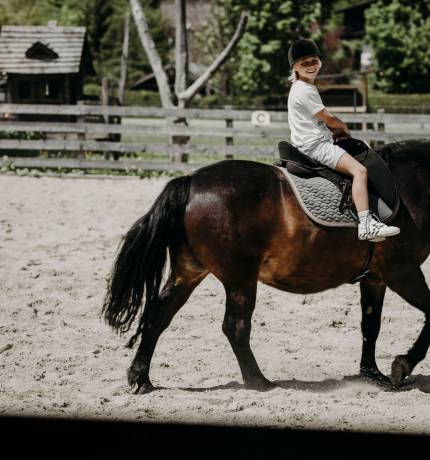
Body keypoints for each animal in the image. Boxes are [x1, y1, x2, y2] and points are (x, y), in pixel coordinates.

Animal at [103, 138, 430, 394]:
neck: (409, 187)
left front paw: (372, 375)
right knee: (235, 327)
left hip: (189, 272)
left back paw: (140, 377)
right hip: (240, 278)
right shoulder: (402, 272)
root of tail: (191, 181)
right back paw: (259, 382)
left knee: (158, 316)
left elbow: (370, 326)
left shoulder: (376, 278)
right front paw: (402, 365)